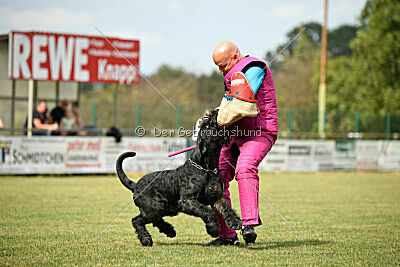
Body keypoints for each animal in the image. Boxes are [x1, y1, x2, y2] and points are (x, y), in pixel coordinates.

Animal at [115, 109, 241, 247]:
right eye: (207, 125)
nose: (215, 110)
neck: (206, 168)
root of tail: (135, 185)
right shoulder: (187, 201)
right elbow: (206, 211)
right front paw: (213, 229)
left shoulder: (216, 197)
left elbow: (226, 208)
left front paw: (235, 222)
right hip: (153, 209)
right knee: (137, 220)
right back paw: (146, 239)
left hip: (164, 209)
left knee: (154, 220)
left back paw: (169, 231)